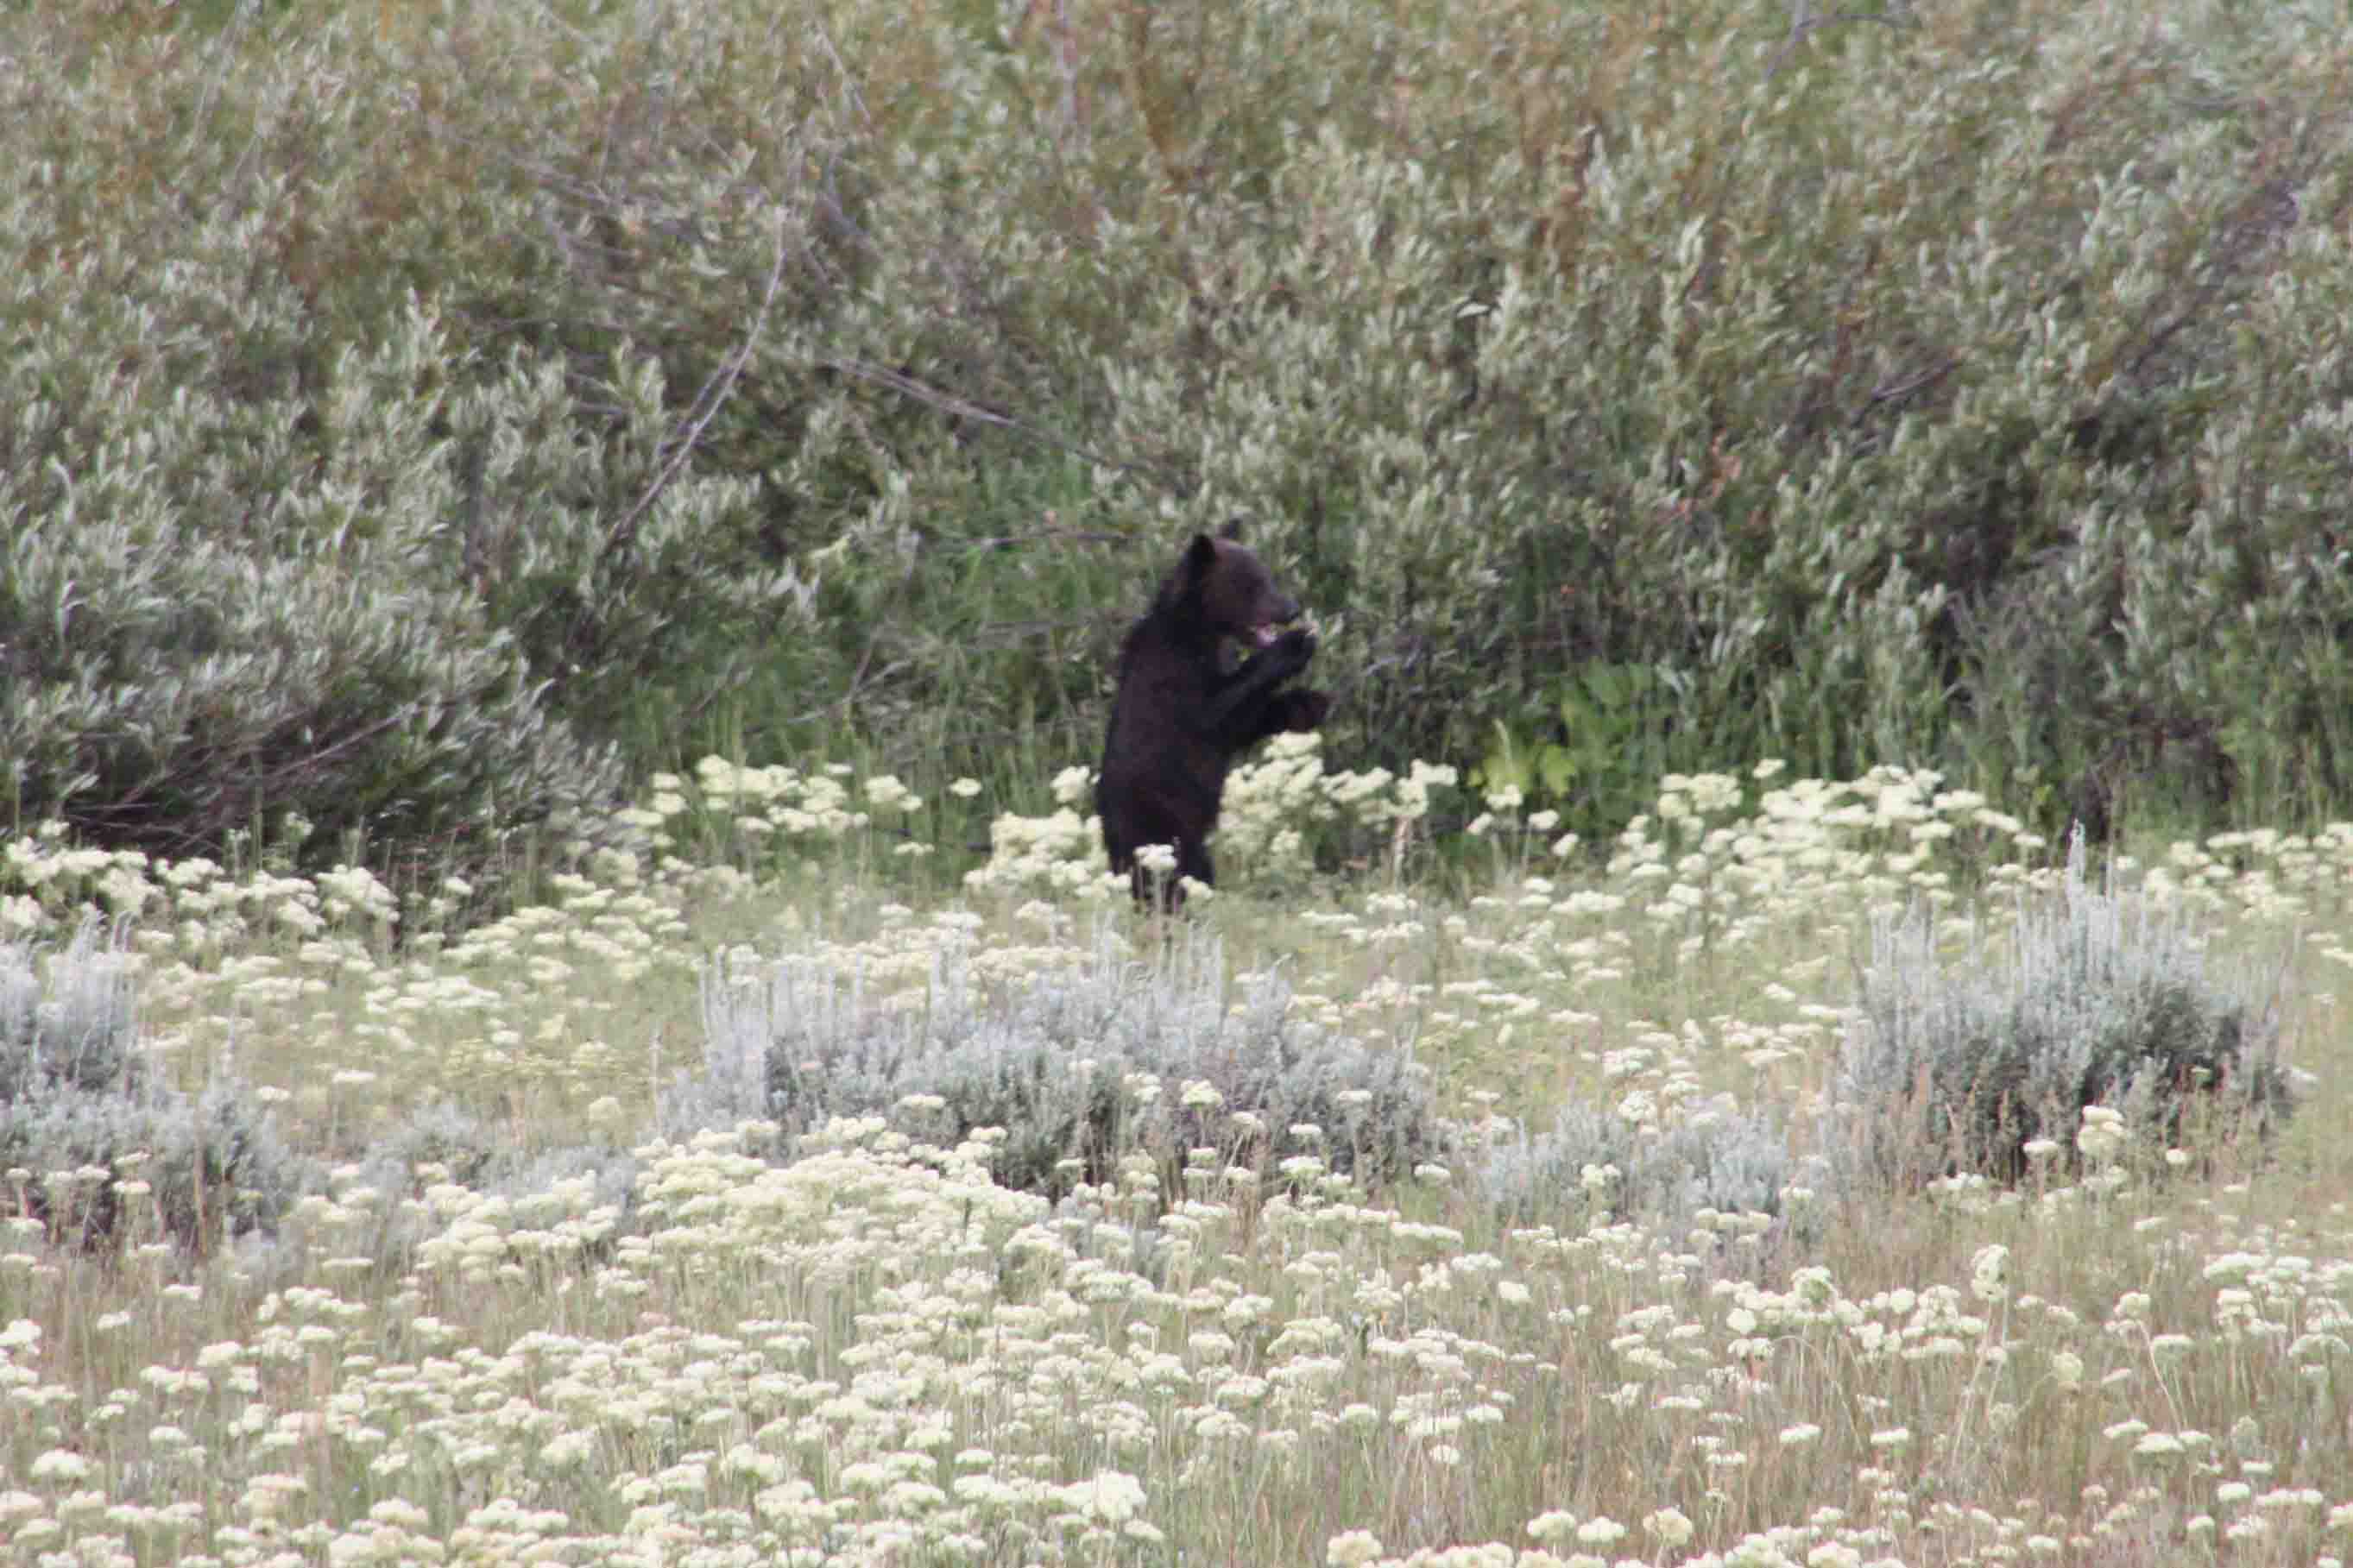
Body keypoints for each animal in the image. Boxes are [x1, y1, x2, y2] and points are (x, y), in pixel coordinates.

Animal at [1097, 519, 1331, 906]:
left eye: (1267, 576)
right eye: (1252, 583)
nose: (1291, 610)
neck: (1198, 631)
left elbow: (1241, 723)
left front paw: (1309, 703)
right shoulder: (1170, 677)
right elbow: (1216, 710)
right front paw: (1295, 645)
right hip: (1158, 825)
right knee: (1165, 880)